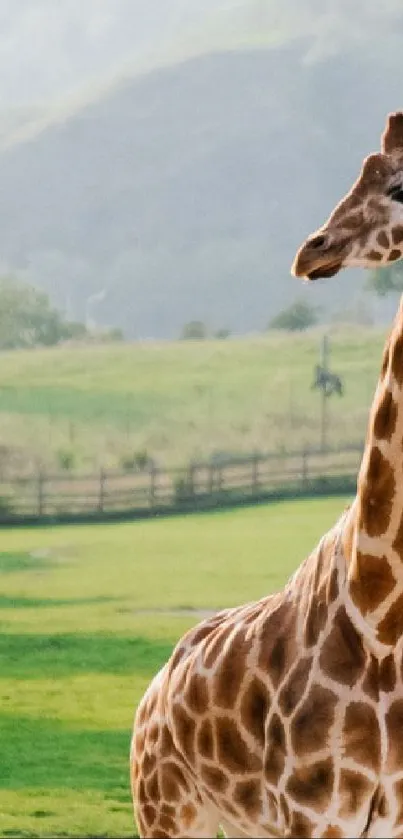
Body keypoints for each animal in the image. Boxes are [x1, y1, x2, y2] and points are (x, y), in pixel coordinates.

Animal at [132, 113, 403, 839]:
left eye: (397, 184)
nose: (314, 249)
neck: (382, 622)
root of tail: (151, 693)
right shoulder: (316, 817)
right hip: (166, 814)